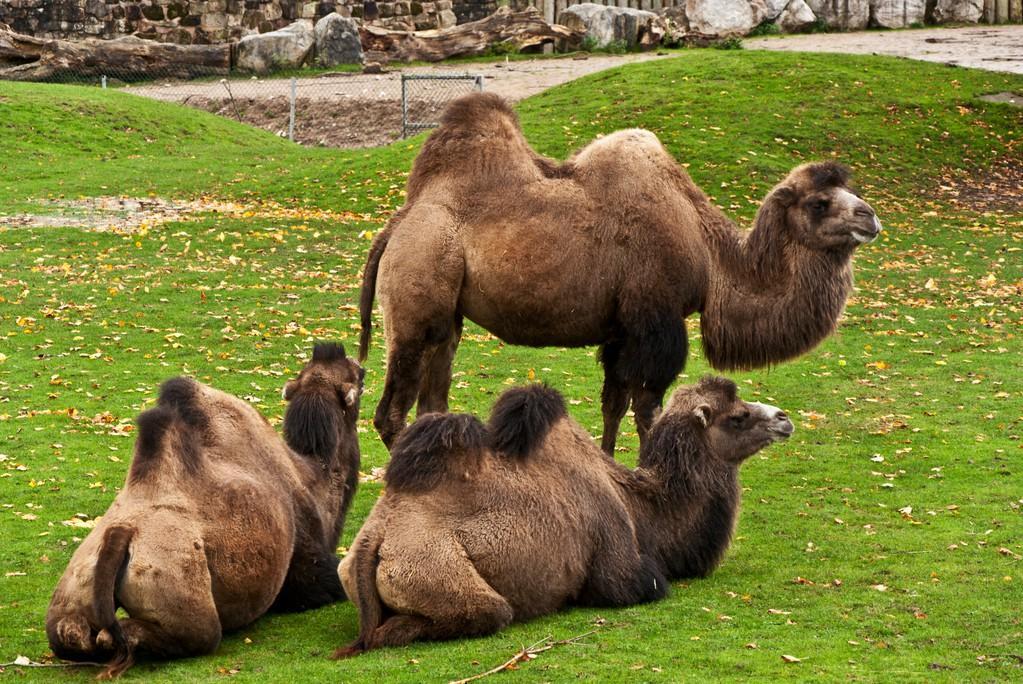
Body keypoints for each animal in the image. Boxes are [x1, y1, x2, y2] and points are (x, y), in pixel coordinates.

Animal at [49, 343, 368, 674]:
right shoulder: (308, 563)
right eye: (360, 377)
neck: (310, 474)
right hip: (182, 596)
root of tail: (120, 537)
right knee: (189, 634)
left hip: (74, 588)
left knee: (72, 633)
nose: (361, 364)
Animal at [333, 376, 789, 654]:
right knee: (482, 613)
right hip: (439, 571)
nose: (783, 419)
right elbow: (643, 585)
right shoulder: (620, 566)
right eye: (738, 416)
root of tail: (376, 536)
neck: (640, 506)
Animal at [358, 92, 879, 453]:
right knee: (390, 410)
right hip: (419, 288)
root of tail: (399, 222)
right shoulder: (657, 319)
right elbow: (649, 406)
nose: (870, 217)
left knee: (433, 395)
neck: (706, 249)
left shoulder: (621, 327)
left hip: (448, 316)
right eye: (819, 202)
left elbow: (614, 401)